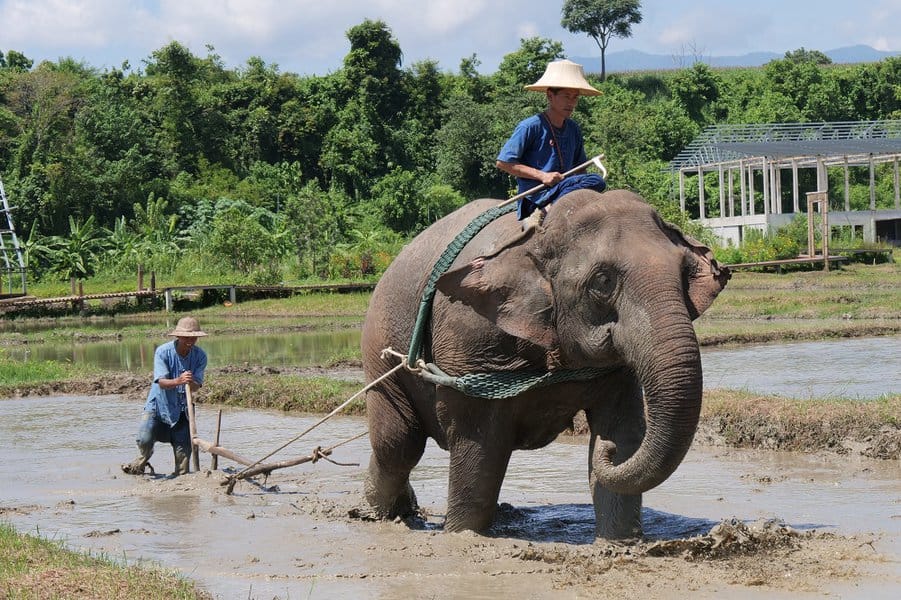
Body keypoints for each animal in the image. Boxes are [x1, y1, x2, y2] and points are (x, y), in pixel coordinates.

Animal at [360, 188, 730, 539]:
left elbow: (624, 426)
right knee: (399, 444)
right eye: (603, 282)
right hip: (380, 347)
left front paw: (620, 542)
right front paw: (462, 536)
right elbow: (478, 444)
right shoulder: (468, 341)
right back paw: (379, 517)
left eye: (684, 273)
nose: (607, 453)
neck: (538, 238)